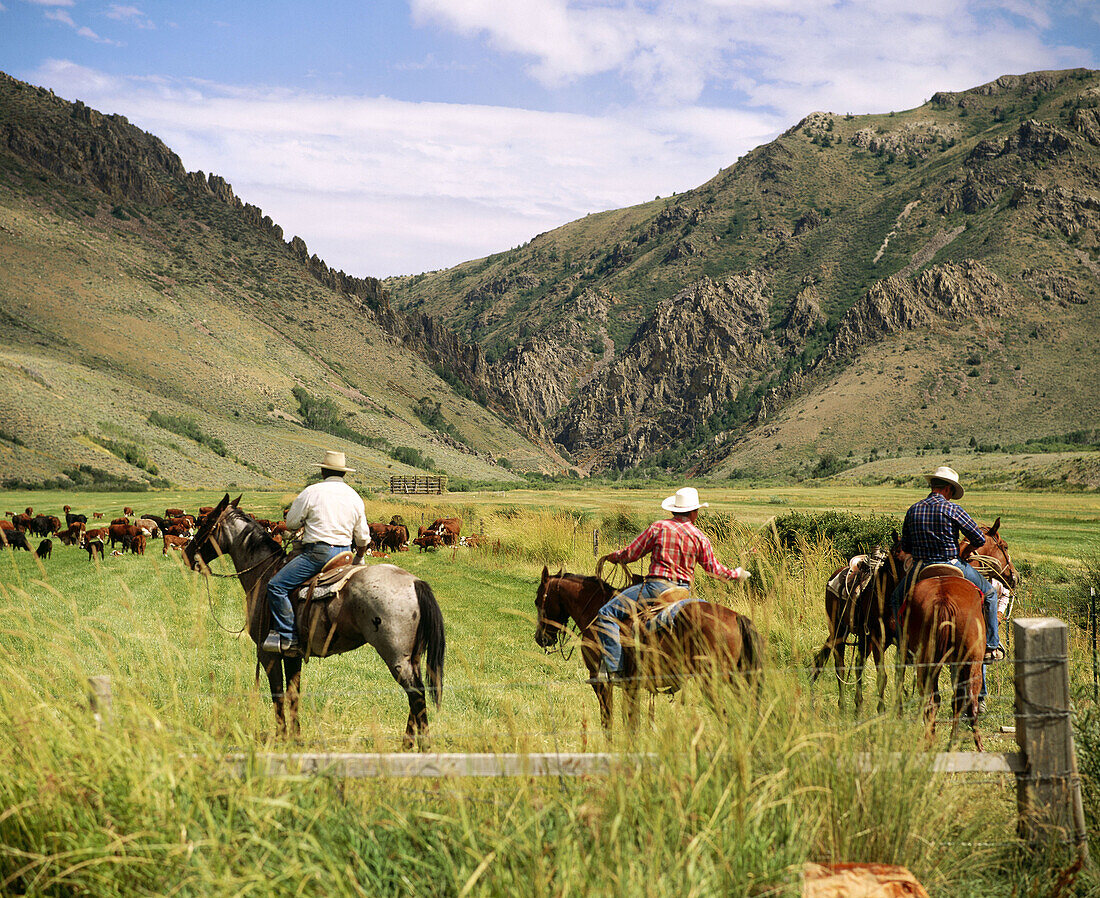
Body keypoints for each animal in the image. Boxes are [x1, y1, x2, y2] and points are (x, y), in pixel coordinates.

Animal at [182, 495, 444, 748]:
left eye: (207, 522)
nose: (186, 553)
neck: (263, 572)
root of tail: (415, 582)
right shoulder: (292, 654)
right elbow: (293, 694)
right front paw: (296, 738)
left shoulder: (268, 653)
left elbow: (277, 694)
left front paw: (281, 738)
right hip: (413, 657)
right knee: (416, 695)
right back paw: (408, 743)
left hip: (396, 656)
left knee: (416, 694)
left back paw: (420, 746)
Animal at [534, 563, 765, 735]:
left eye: (537, 601)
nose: (540, 638)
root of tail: (737, 617)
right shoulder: (632, 686)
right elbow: (631, 723)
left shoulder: (601, 682)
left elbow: (608, 722)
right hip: (739, 680)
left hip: (712, 682)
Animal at [809, 539, 902, 717]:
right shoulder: (878, 639)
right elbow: (882, 676)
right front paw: (882, 711)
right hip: (839, 632)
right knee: (840, 666)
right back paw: (842, 706)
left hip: (863, 638)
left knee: (857, 665)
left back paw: (857, 705)